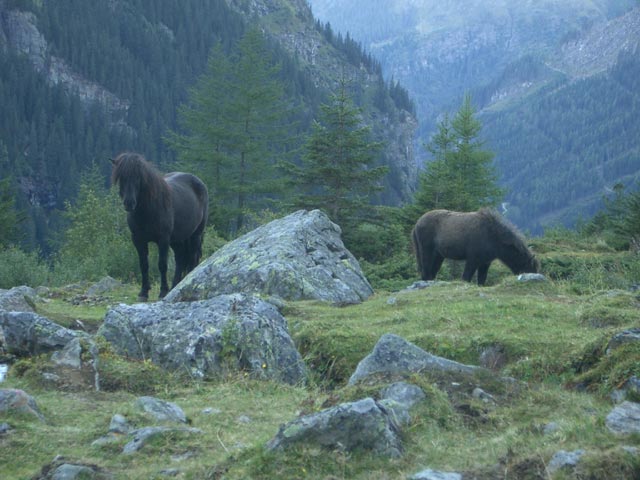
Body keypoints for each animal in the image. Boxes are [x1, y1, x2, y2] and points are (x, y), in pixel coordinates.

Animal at [110, 152, 208, 300]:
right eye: (121, 177)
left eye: (138, 177)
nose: (129, 203)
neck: (147, 211)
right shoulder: (138, 240)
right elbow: (143, 264)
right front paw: (144, 292)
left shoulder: (163, 239)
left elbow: (162, 264)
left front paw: (163, 291)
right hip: (177, 240)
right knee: (180, 258)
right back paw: (175, 286)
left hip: (195, 235)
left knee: (192, 258)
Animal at [410, 207, 540, 284]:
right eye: (530, 268)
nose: (534, 279)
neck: (493, 236)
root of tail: (417, 224)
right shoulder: (473, 259)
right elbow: (466, 277)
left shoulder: (485, 262)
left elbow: (482, 279)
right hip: (426, 251)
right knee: (426, 270)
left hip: (439, 255)